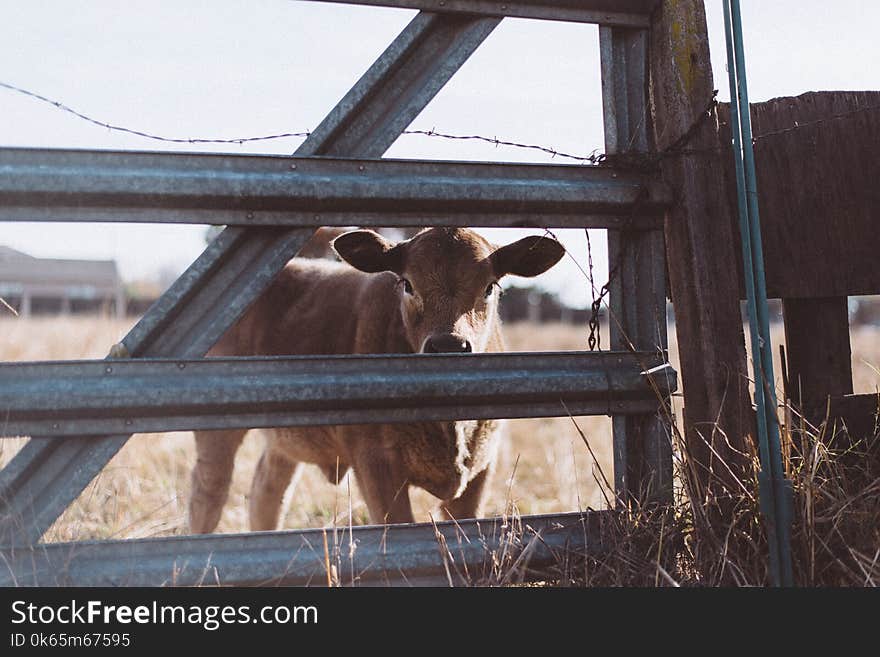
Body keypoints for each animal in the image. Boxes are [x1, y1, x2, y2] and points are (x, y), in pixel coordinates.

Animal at [189, 228, 568, 532]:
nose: (448, 345)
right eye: (408, 284)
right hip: (216, 434)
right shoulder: (375, 465)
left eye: (489, 286)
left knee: (266, 492)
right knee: (208, 494)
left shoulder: (480, 470)